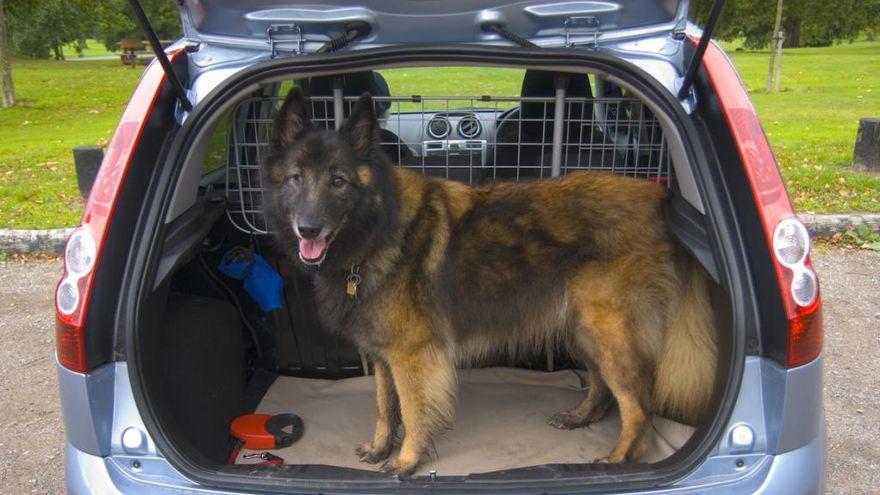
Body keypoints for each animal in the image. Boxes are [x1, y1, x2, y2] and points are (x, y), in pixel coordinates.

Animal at [264, 88, 720, 476]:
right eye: (296, 178)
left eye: (338, 181)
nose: (308, 229)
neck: (375, 229)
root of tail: (656, 199)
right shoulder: (382, 355)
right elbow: (383, 408)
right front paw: (380, 448)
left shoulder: (411, 355)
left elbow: (411, 412)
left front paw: (406, 461)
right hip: (580, 328)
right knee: (603, 387)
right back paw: (579, 417)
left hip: (606, 331)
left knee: (639, 405)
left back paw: (617, 461)